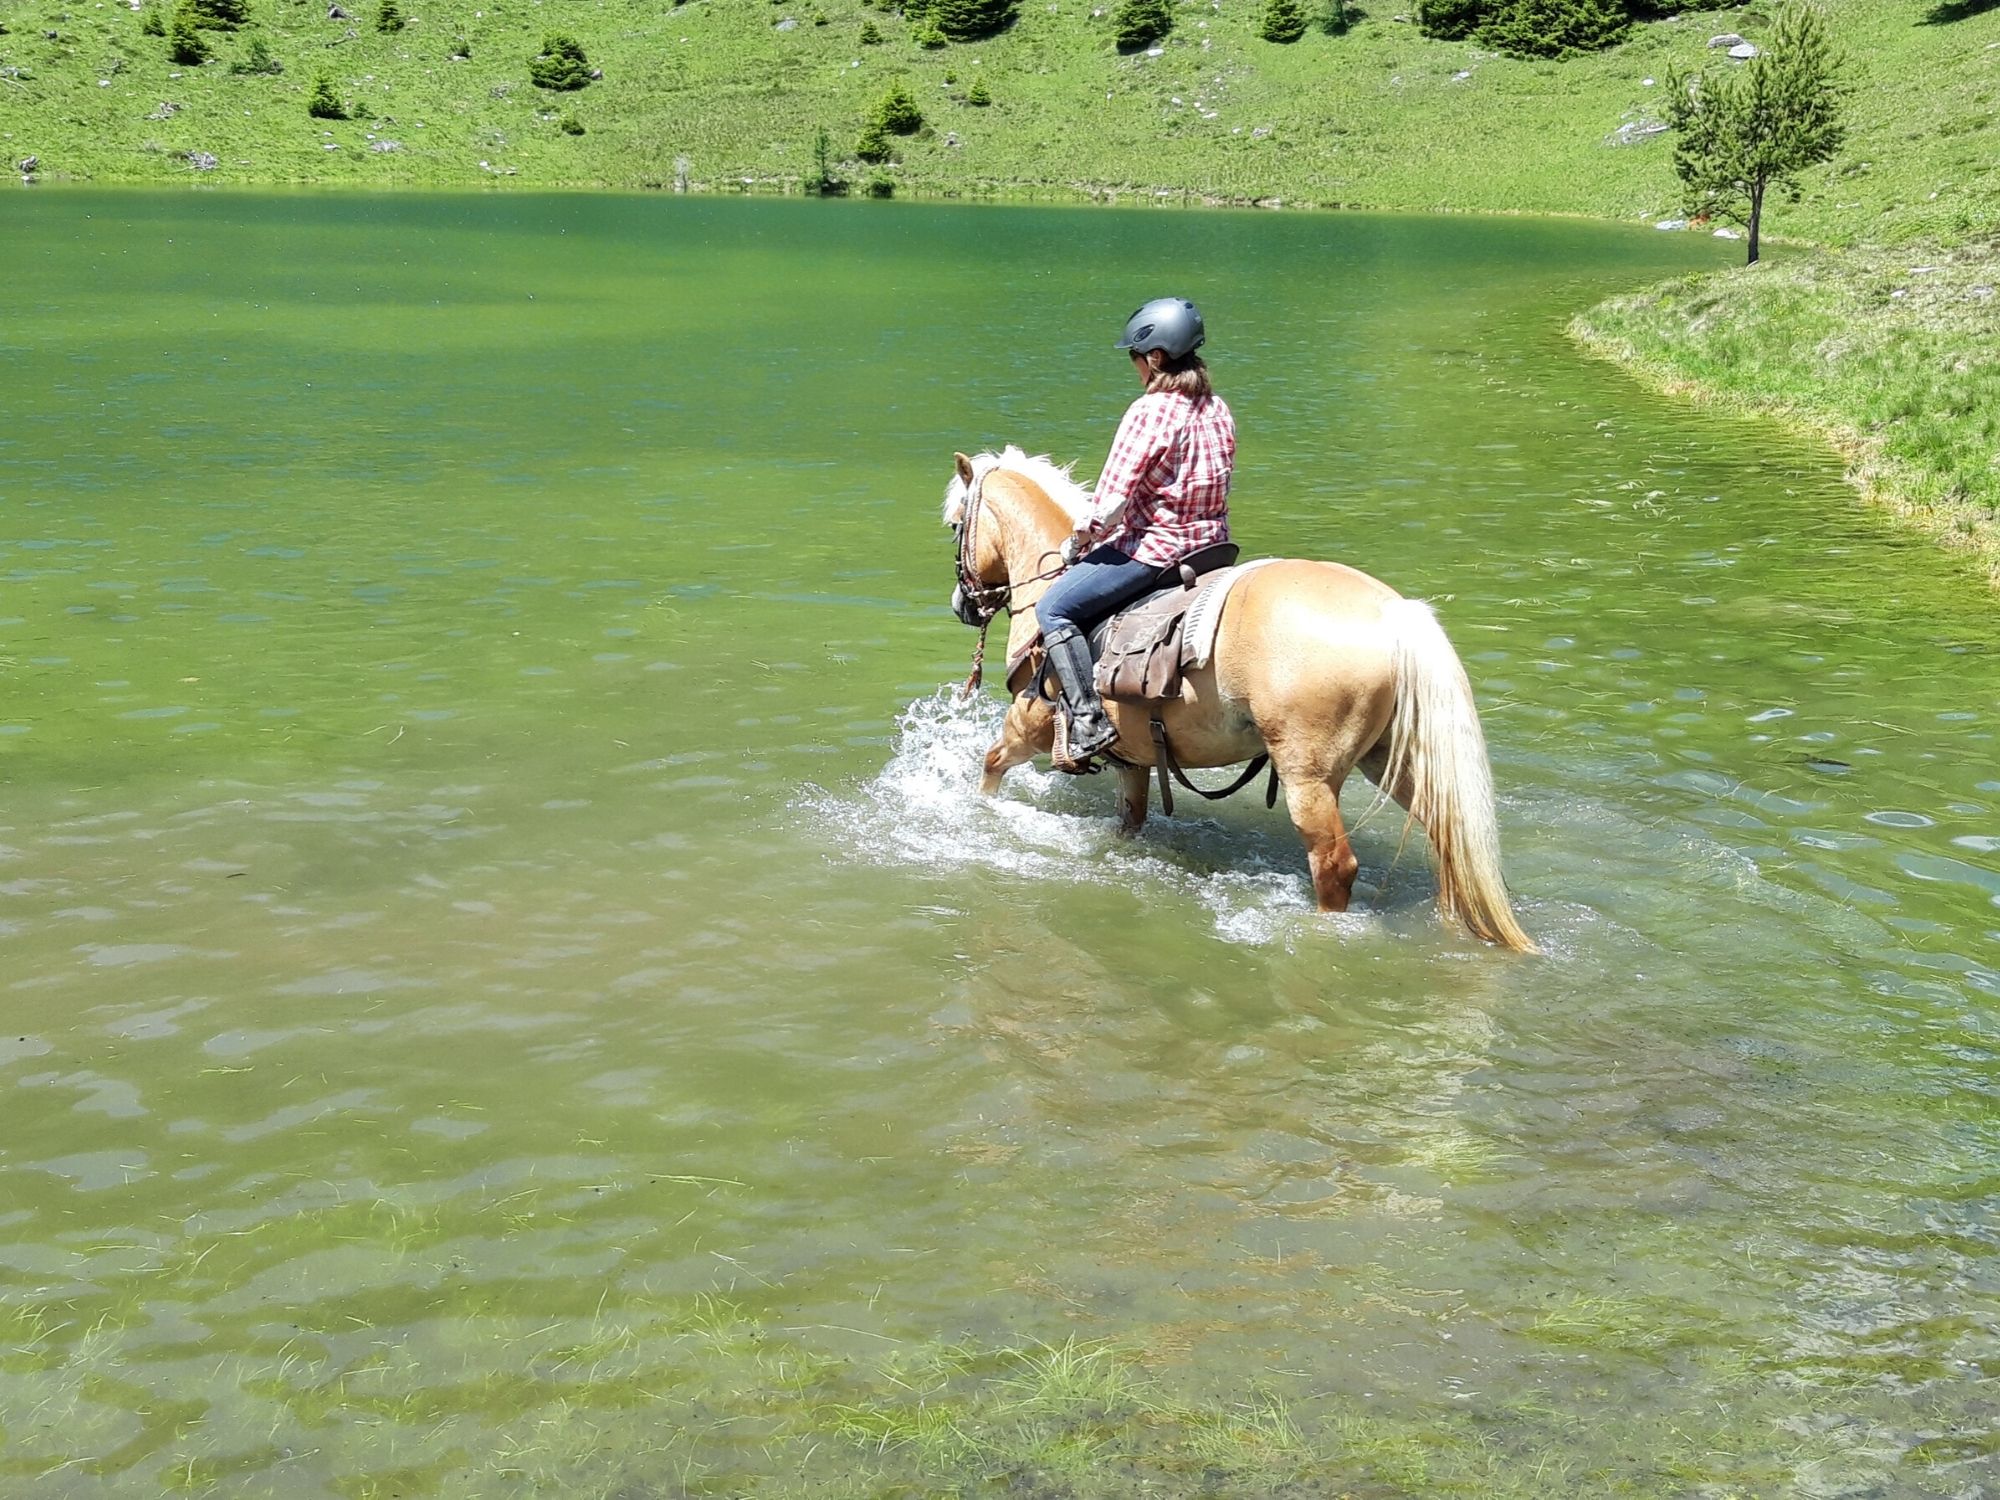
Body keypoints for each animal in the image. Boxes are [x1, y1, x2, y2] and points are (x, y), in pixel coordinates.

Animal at [936, 446, 1528, 952]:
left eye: (955, 525)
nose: (962, 604)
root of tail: (1392, 614)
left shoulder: (1028, 726)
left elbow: (990, 765)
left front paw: (980, 812)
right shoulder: (1134, 758)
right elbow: (1130, 818)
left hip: (1309, 778)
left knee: (1334, 866)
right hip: (1393, 761)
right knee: (1448, 837)